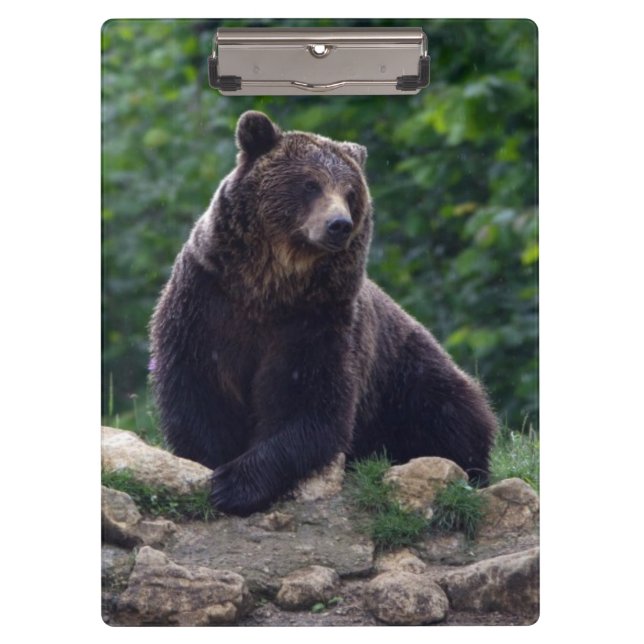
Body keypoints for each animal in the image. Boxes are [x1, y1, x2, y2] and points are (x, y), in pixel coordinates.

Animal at [150, 111, 497, 517]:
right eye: (310, 184)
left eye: (350, 193)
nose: (339, 225)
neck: (268, 287)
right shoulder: (207, 302)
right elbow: (198, 390)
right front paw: (212, 466)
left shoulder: (317, 320)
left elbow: (312, 404)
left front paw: (235, 483)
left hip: (407, 375)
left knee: (453, 413)